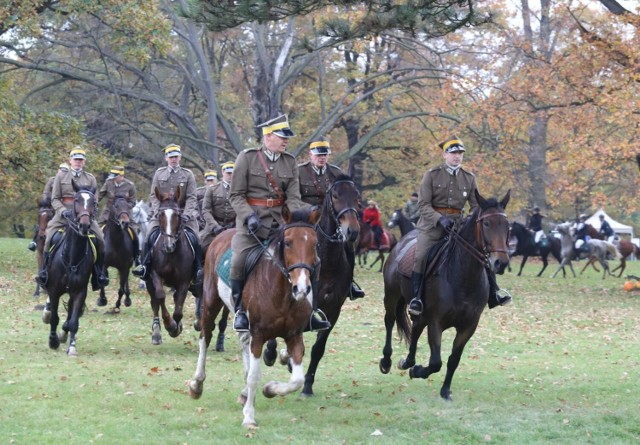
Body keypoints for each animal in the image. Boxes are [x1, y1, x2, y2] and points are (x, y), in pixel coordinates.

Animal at [41, 180, 97, 354]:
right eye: (77, 200)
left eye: (93, 202)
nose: (84, 225)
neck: (72, 258)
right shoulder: (54, 290)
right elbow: (54, 318)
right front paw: (53, 341)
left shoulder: (79, 292)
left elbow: (73, 321)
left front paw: (71, 346)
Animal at [144, 186, 200, 346]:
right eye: (160, 214)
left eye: (178, 214)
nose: (169, 246)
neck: (171, 254)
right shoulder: (155, 275)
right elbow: (160, 296)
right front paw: (169, 324)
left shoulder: (184, 281)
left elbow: (179, 308)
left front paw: (176, 327)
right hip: (148, 281)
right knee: (154, 303)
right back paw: (156, 334)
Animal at [189, 205, 320, 426]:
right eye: (288, 242)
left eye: (315, 243)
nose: (301, 288)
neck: (282, 293)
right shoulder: (259, 335)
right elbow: (254, 377)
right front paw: (249, 416)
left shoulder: (294, 335)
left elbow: (297, 380)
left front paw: (270, 389)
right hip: (210, 303)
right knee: (205, 337)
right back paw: (197, 384)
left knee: (242, 341)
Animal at [380, 189, 510, 400]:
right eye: (487, 223)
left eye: (507, 225)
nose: (501, 262)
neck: (464, 278)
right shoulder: (436, 322)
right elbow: (436, 362)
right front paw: (418, 371)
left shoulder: (469, 326)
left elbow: (453, 359)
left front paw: (445, 390)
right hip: (391, 297)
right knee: (390, 322)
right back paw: (387, 361)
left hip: (420, 312)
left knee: (415, 328)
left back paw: (408, 362)